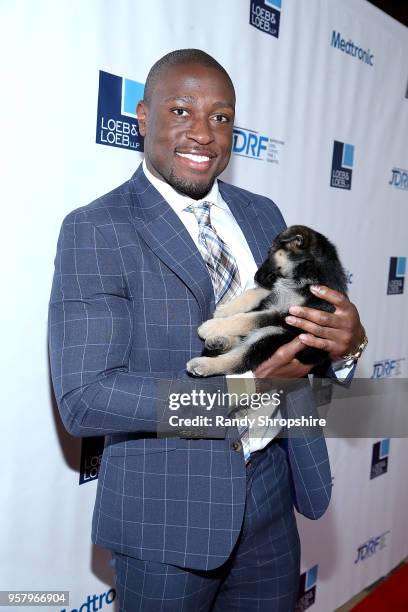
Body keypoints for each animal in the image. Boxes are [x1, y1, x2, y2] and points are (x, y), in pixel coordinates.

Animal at [186, 225, 346, 378]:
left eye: (272, 252)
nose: (256, 278)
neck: (306, 273)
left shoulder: (289, 317)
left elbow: (252, 319)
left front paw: (212, 326)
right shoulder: (274, 289)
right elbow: (253, 293)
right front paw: (225, 310)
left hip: (272, 336)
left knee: (240, 360)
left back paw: (203, 364)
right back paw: (219, 342)